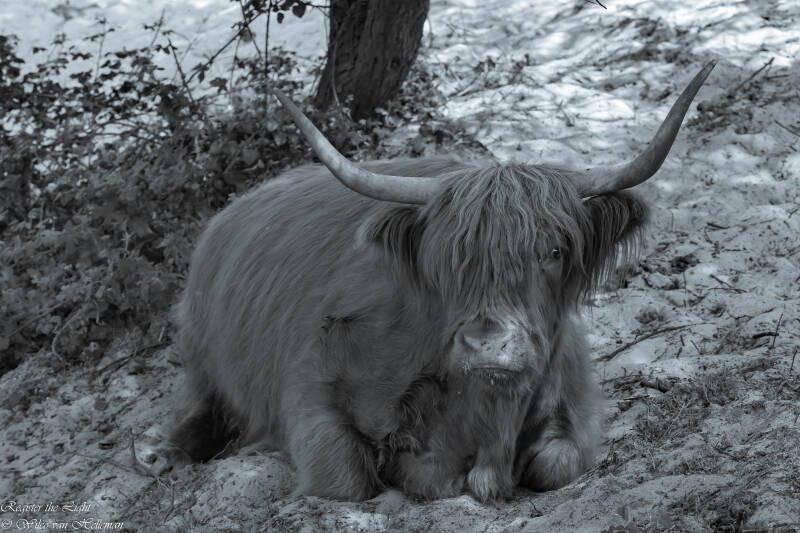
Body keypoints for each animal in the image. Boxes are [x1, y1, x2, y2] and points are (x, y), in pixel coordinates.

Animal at [159, 62, 715, 502]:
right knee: (200, 406)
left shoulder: (575, 404)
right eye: (447, 259)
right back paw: (159, 453)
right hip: (200, 355)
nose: (487, 343)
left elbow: (556, 465)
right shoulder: (310, 388)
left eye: (553, 252)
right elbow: (347, 478)